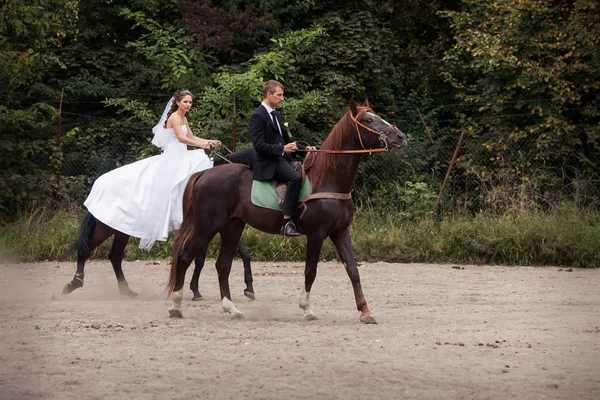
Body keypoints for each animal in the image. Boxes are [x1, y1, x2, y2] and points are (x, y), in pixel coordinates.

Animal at [166, 101, 406, 324]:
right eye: (368, 120)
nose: (401, 137)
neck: (327, 179)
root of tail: (205, 173)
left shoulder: (340, 233)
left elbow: (354, 271)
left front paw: (366, 311)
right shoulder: (317, 234)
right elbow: (310, 271)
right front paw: (307, 309)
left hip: (232, 227)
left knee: (222, 265)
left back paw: (232, 309)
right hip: (206, 227)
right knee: (185, 257)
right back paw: (176, 305)